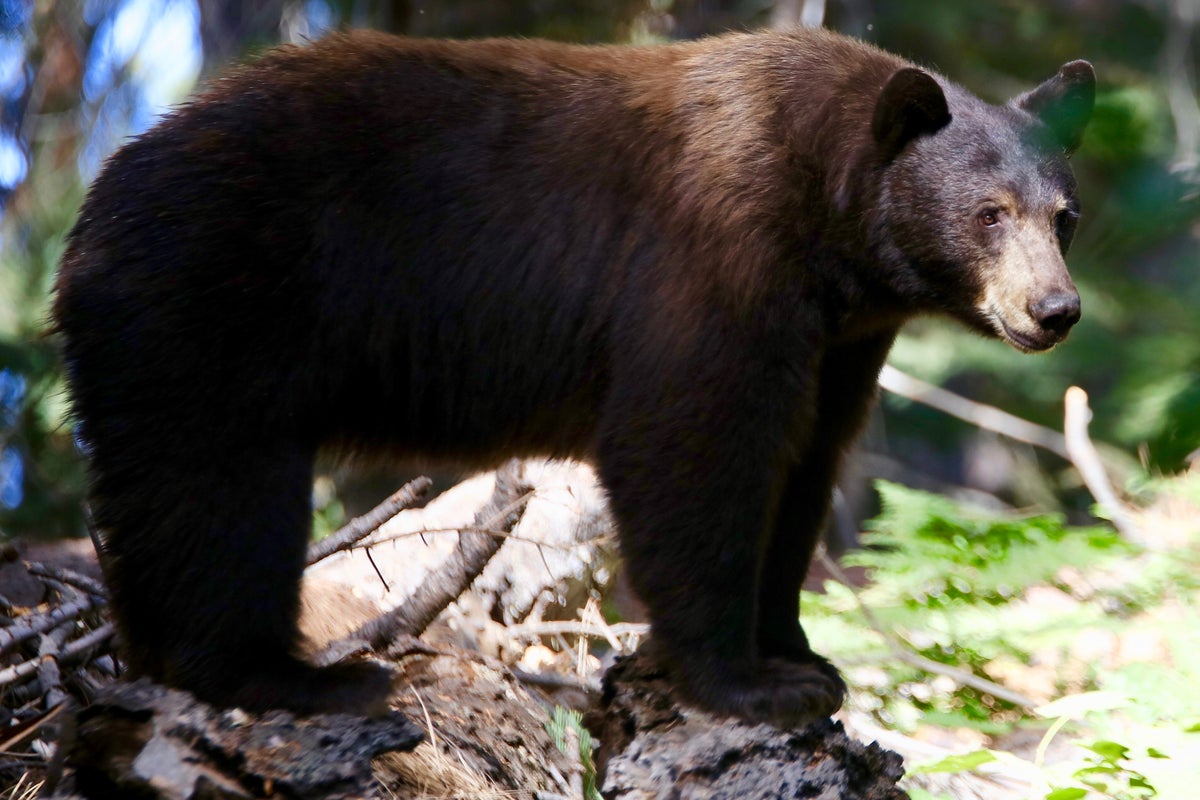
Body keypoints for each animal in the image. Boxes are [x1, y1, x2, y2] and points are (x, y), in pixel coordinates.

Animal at [52, 28, 1093, 726]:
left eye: (1064, 215)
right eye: (991, 212)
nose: (1056, 309)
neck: (830, 223)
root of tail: (95, 205)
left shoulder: (840, 340)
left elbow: (804, 466)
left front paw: (802, 653)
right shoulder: (714, 259)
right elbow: (691, 443)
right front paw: (750, 682)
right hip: (209, 307)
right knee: (215, 495)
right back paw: (289, 675)